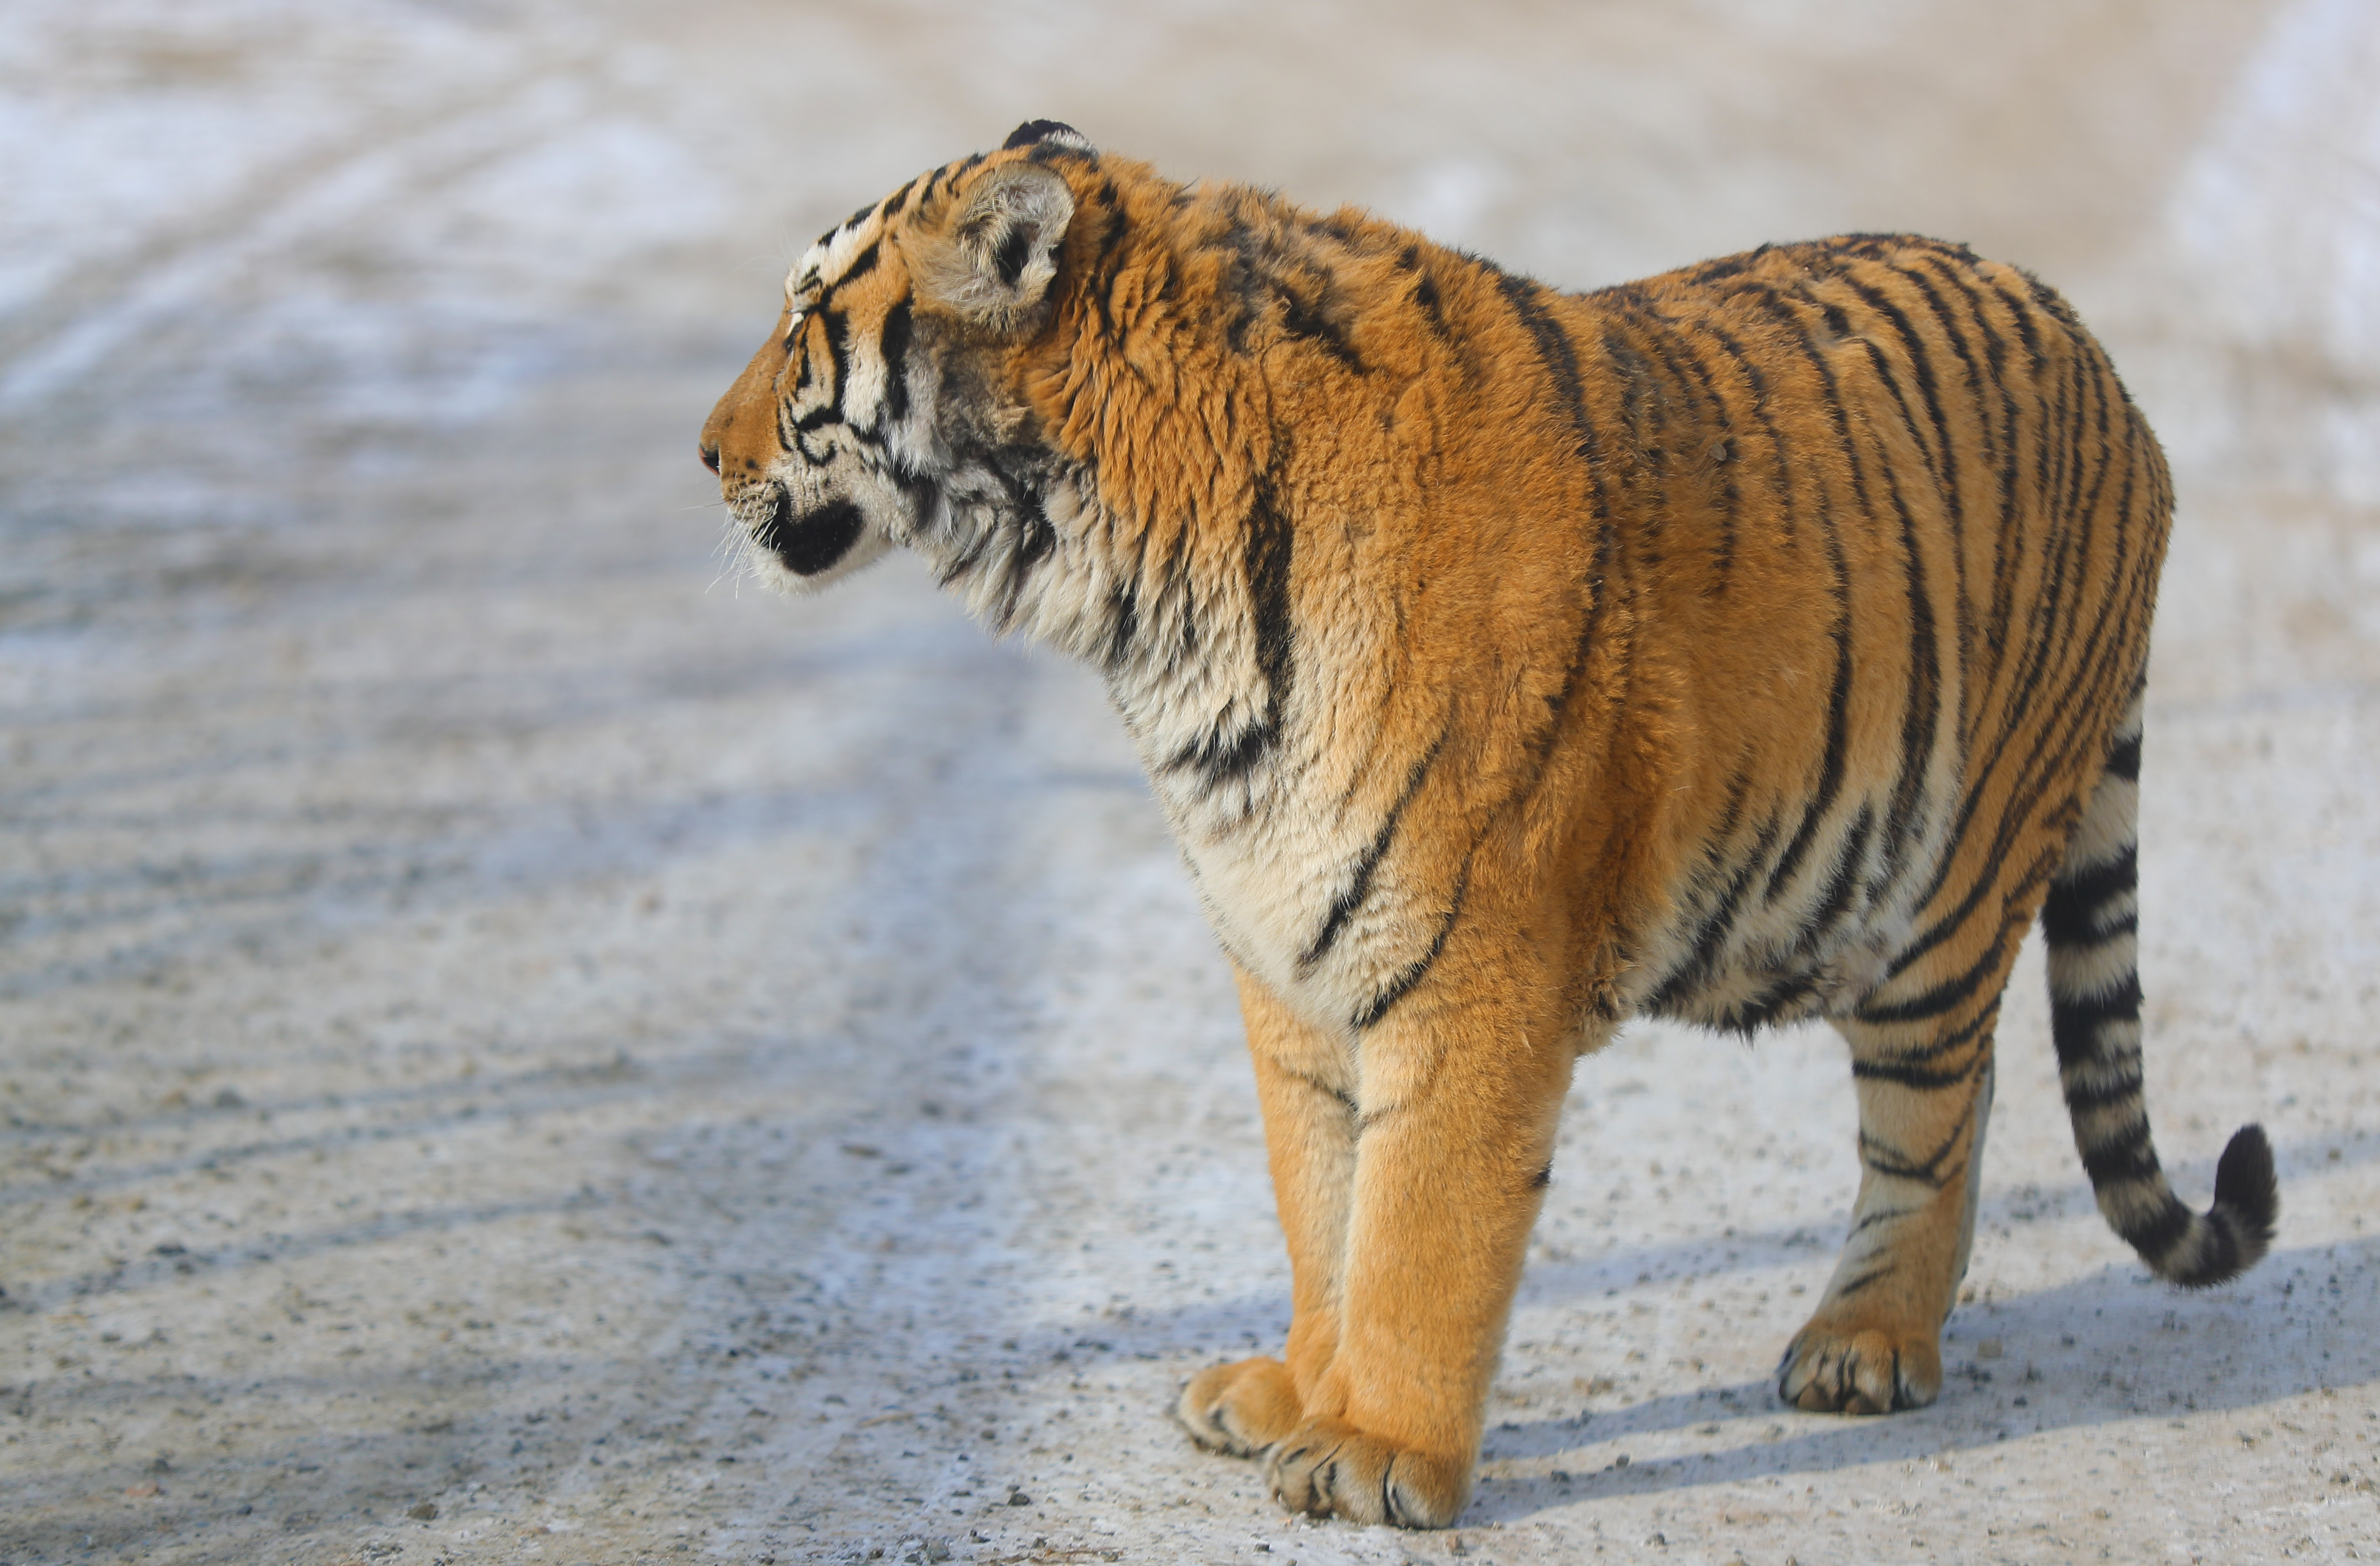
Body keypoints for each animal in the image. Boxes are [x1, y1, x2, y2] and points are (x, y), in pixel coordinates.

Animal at [695, 119, 2275, 1523]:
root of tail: (2096, 355)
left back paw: (1865, 1344)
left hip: (1947, 891)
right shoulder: (1287, 963)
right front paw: (1292, 1392)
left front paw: (1372, 1455)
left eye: (806, 320)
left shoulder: (1473, 969)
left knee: (1942, 1113)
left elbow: (1419, 1234)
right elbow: (1322, 1206)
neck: (1134, 602)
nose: (701, 453)